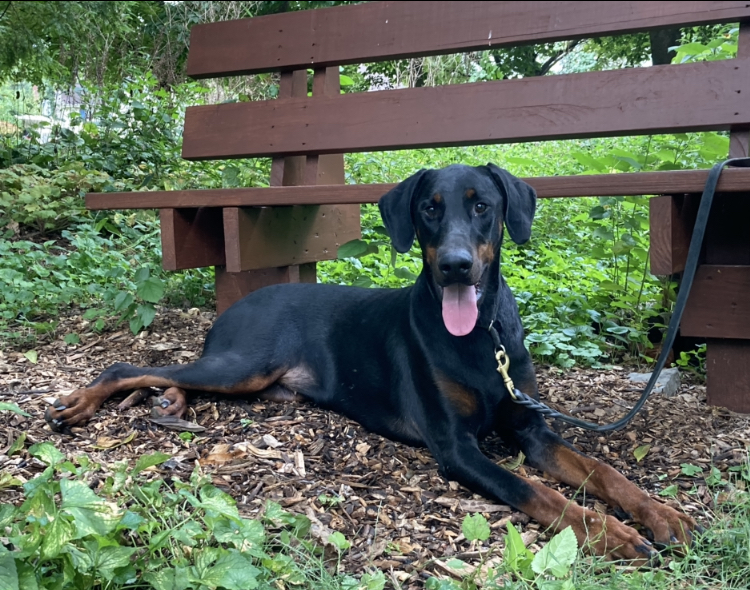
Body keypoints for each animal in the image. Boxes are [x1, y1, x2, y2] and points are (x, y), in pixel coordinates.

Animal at [44, 164, 696, 560]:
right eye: (429, 208)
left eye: (482, 207)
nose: (455, 265)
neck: (479, 340)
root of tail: (237, 306)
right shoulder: (456, 448)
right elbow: (539, 492)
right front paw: (610, 532)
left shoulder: (531, 426)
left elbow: (601, 471)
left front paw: (659, 514)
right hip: (243, 364)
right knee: (130, 367)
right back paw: (79, 403)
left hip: (254, 383)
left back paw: (169, 402)